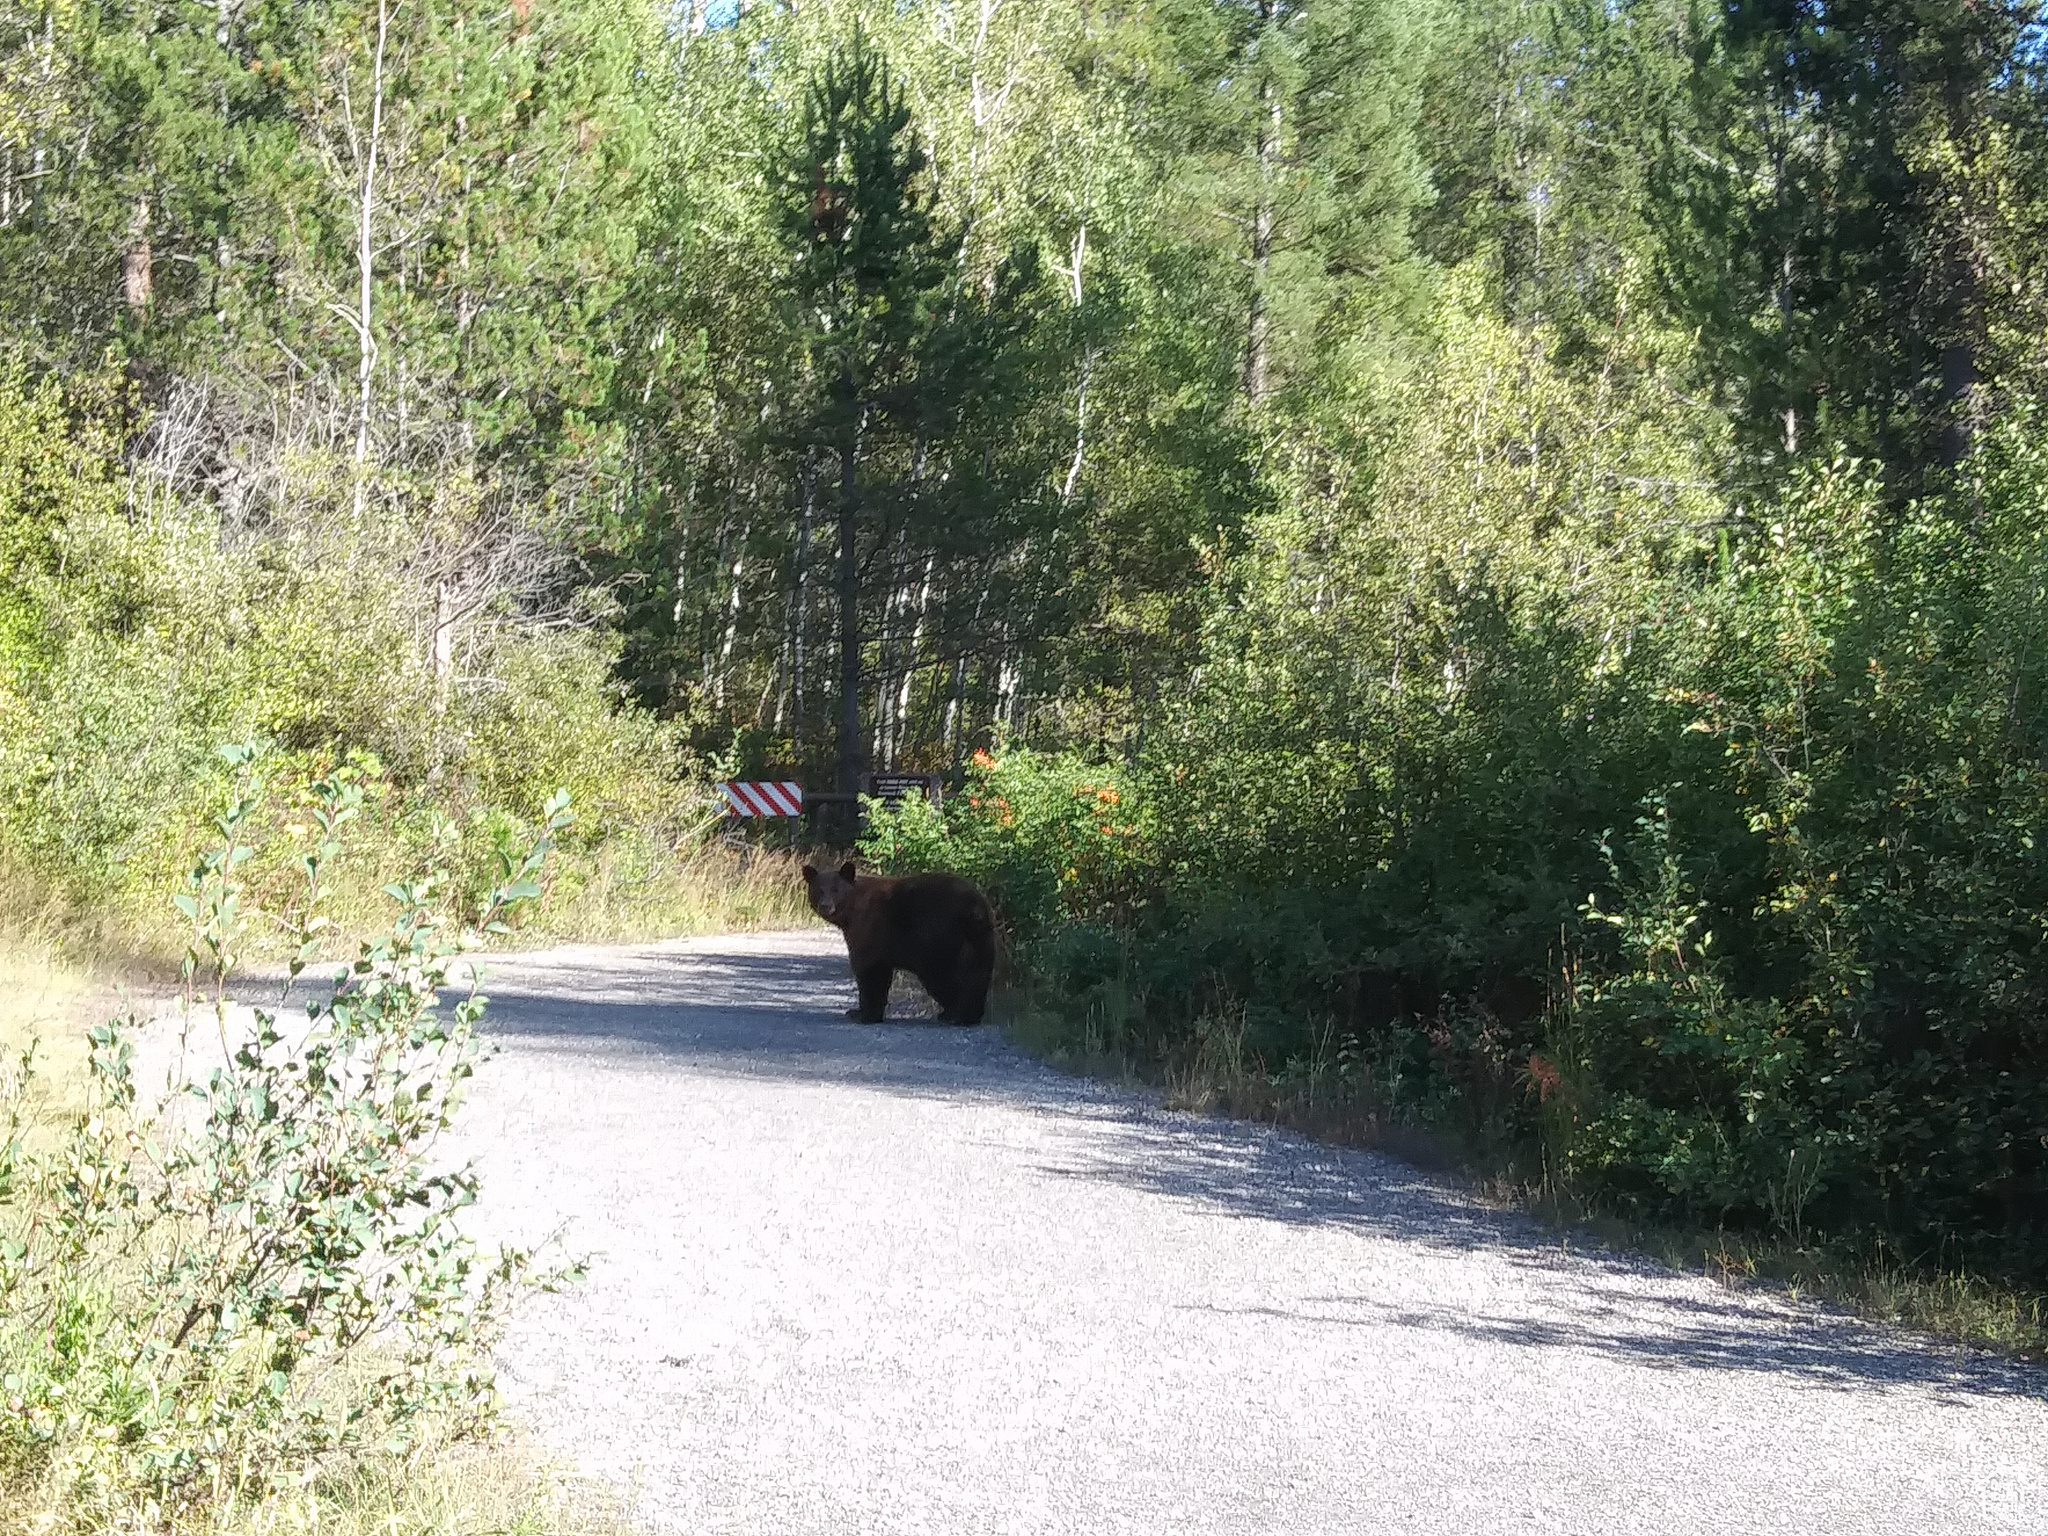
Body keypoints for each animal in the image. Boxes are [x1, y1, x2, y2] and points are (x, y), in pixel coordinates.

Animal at [794, 860, 995, 1028]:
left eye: (836, 890)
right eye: (819, 889)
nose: (825, 906)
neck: (851, 913)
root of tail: (975, 907)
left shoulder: (869, 928)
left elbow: (869, 970)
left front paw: (864, 1014)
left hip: (936, 939)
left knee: (944, 976)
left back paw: (961, 1015)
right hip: (979, 939)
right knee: (976, 973)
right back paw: (960, 1014)